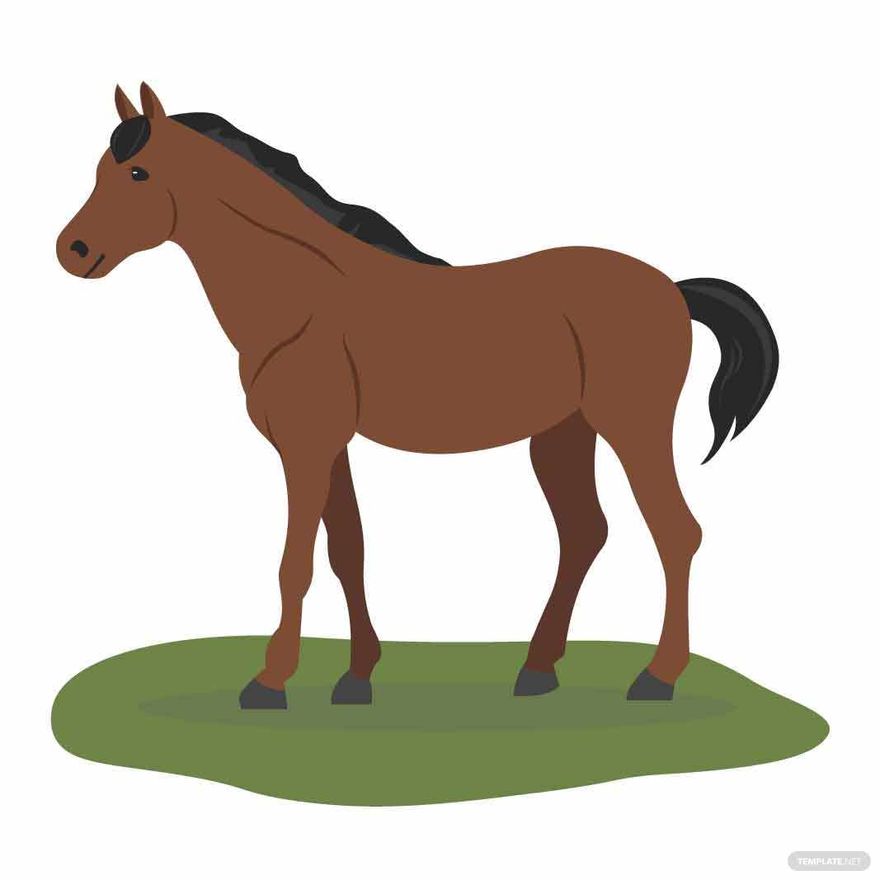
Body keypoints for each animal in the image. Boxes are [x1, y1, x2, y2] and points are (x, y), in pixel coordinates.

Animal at [57, 83, 779, 710]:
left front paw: (269, 683)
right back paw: (537, 671)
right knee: (584, 534)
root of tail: (672, 290)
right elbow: (347, 552)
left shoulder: (304, 446)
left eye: (138, 174)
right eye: (100, 169)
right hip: (562, 435)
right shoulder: (331, 447)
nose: (74, 250)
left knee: (676, 533)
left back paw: (656, 678)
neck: (303, 296)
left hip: (633, 429)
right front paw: (356, 680)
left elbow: (296, 564)